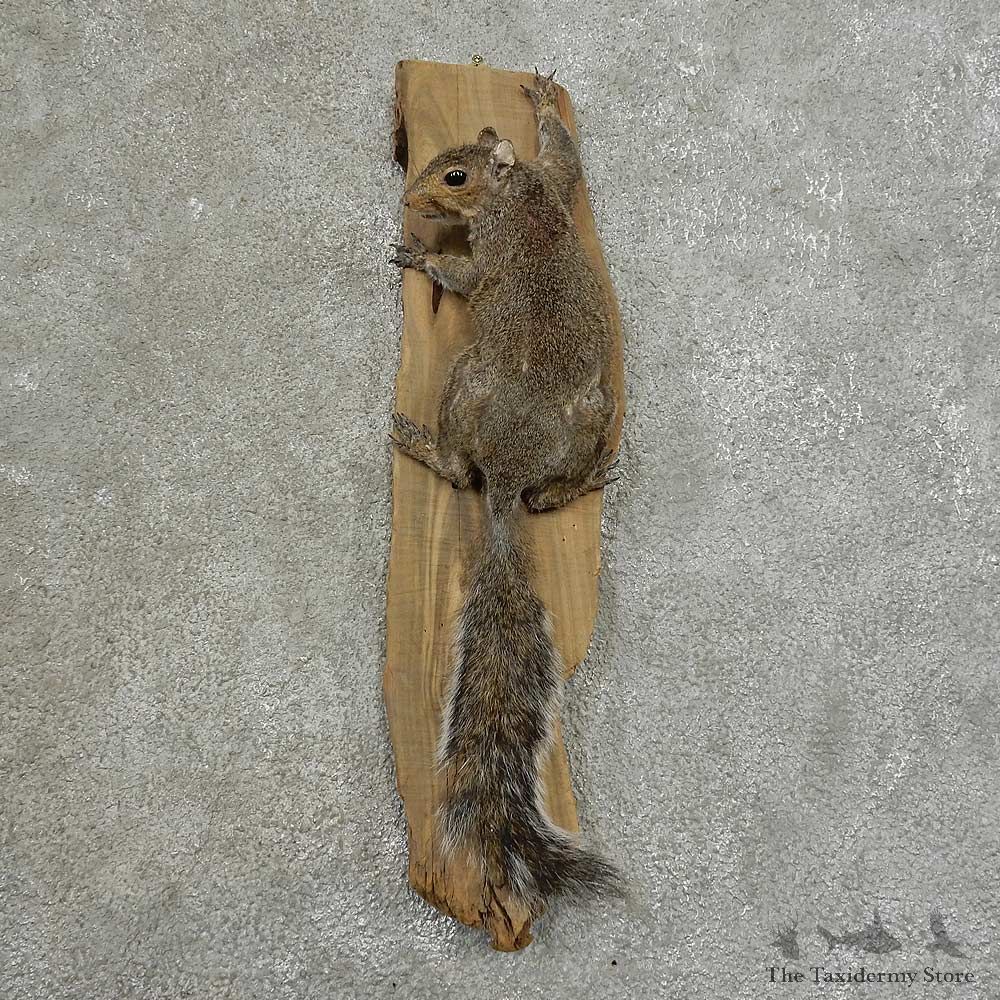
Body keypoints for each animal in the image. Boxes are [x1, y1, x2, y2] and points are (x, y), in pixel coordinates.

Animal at [389, 69, 623, 916]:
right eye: (438, 159)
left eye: (453, 176)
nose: (412, 198)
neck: (515, 194)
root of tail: (511, 471)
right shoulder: (553, 182)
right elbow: (566, 156)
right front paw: (546, 100)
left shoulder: (491, 252)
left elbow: (463, 276)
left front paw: (420, 257)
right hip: (591, 415)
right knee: (553, 492)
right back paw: (581, 482)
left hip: (464, 383)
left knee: (462, 472)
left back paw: (421, 444)